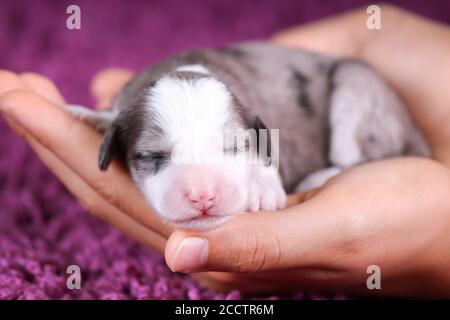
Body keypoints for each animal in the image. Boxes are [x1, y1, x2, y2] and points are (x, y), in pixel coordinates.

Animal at [67, 41, 428, 230]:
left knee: (354, 157)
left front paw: (263, 189)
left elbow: (267, 154)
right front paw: (91, 116)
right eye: (151, 156)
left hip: (357, 90)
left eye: (235, 147)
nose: (203, 196)